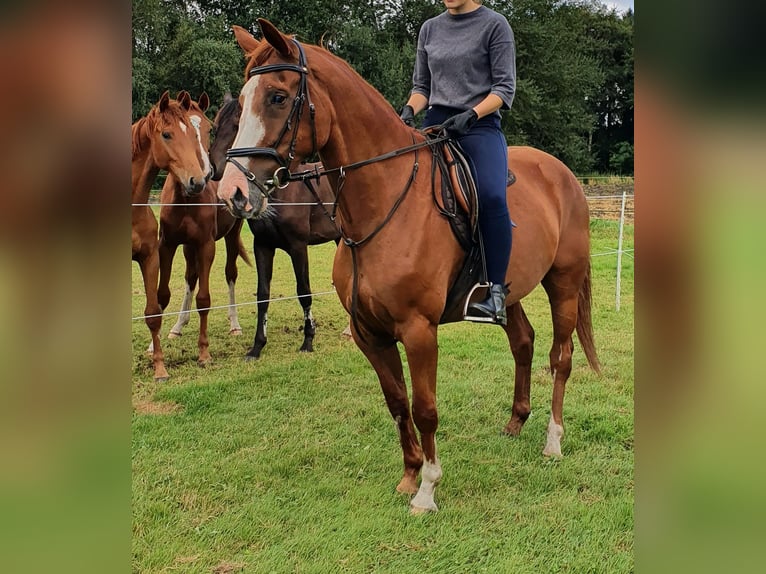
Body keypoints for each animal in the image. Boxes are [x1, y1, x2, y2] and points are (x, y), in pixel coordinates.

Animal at [156, 93, 252, 364]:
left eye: (209, 129)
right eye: (216, 127)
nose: (206, 173)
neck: (186, 199)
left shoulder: (206, 244)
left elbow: (204, 297)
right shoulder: (168, 243)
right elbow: (164, 293)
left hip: (232, 234)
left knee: (230, 273)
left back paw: (234, 324)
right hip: (188, 246)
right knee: (191, 276)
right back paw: (178, 325)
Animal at [210, 98, 342, 360]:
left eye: (237, 126)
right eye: (215, 128)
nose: (216, 170)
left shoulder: (298, 246)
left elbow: (303, 291)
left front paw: (308, 340)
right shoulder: (263, 245)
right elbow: (262, 295)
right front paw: (257, 346)